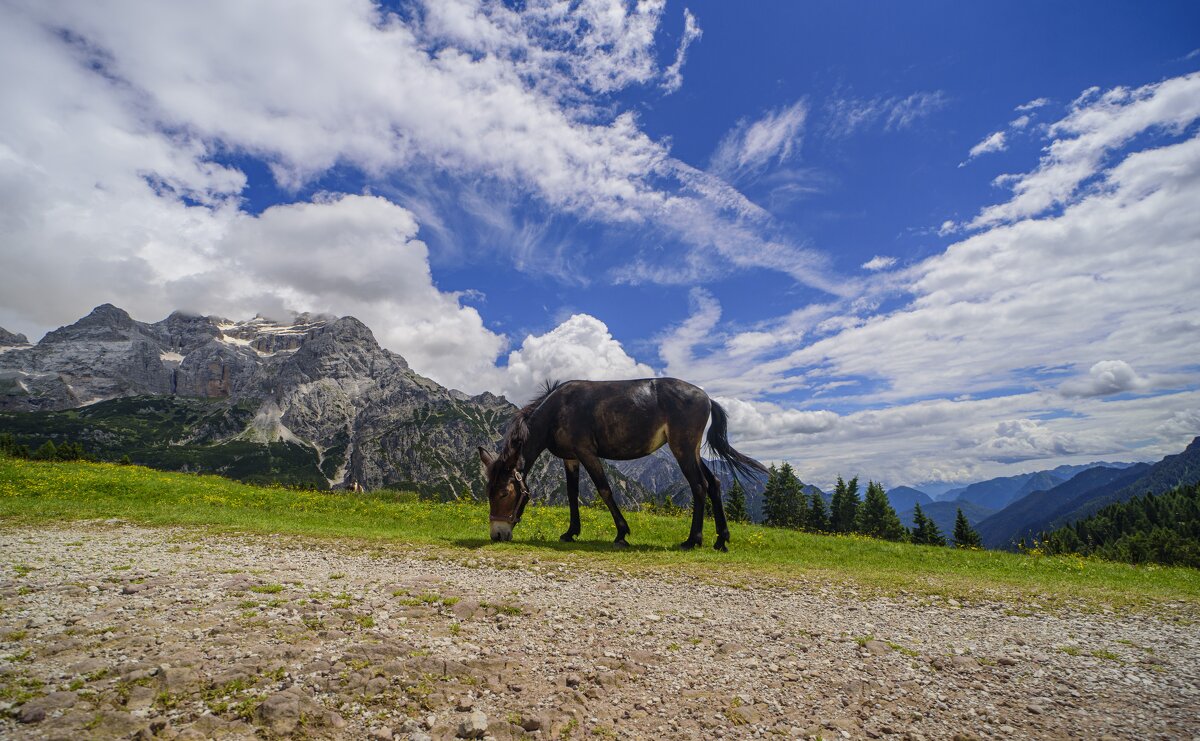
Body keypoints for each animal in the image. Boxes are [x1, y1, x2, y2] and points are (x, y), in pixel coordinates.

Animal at [475, 381, 763, 549]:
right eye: (488, 493)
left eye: (505, 493)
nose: (497, 534)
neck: (557, 410)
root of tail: (706, 397)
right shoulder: (571, 457)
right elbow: (571, 494)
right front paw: (571, 532)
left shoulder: (587, 452)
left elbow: (604, 490)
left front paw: (621, 534)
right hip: (690, 451)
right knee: (714, 483)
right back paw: (721, 539)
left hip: (682, 447)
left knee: (699, 486)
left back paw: (694, 540)